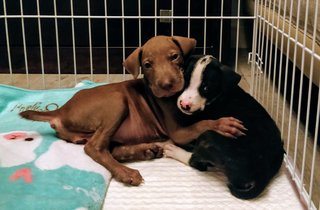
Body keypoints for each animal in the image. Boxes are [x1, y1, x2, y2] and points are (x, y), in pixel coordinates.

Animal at [20, 35, 245, 185]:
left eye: (174, 57)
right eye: (147, 65)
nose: (167, 85)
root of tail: (60, 111)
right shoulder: (178, 133)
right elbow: (202, 123)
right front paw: (223, 124)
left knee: (111, 149)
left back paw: (145, 151)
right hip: (116, 101)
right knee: (95, 148)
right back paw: (127, 173)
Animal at [165, 55, 284, 199]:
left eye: (206, 88)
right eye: (186, 79)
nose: (184, 105)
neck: (218, 96)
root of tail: (263, 174)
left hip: (207, 136)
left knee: (197, 163)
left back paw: (173, 150)